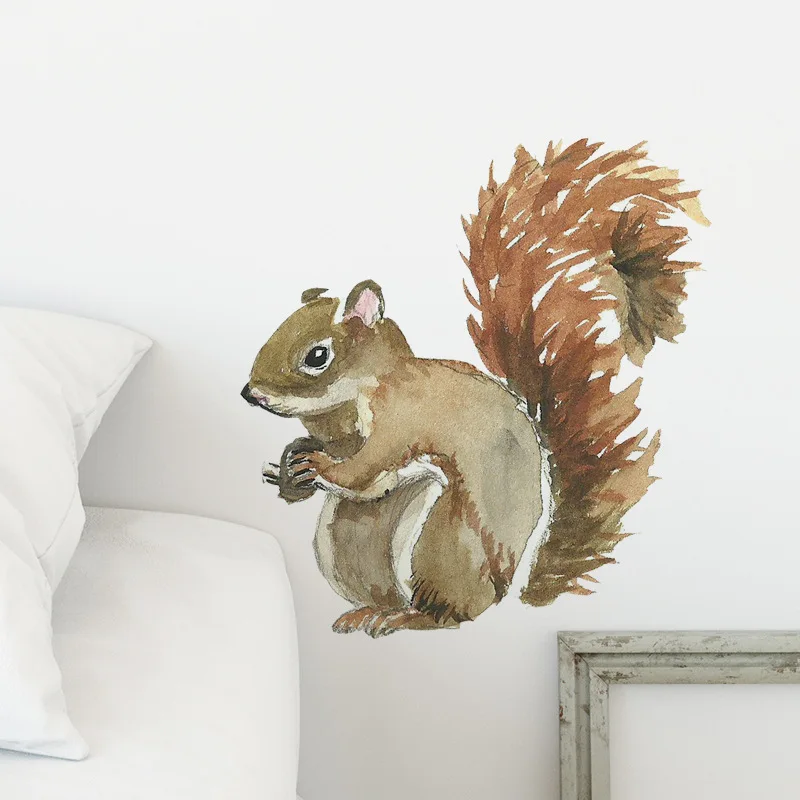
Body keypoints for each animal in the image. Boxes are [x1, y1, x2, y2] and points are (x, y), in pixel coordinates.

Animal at [242, 139, 708, 637]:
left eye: (317, 356)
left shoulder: (402, 418)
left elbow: (365, 470)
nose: (250, 394)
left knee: (448, 614)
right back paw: (367, 612)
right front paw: (290, 469)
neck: (346, 403)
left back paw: (408, 617)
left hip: (441, 544)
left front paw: (319, 466)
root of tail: (503, 587)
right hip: (347, 541)